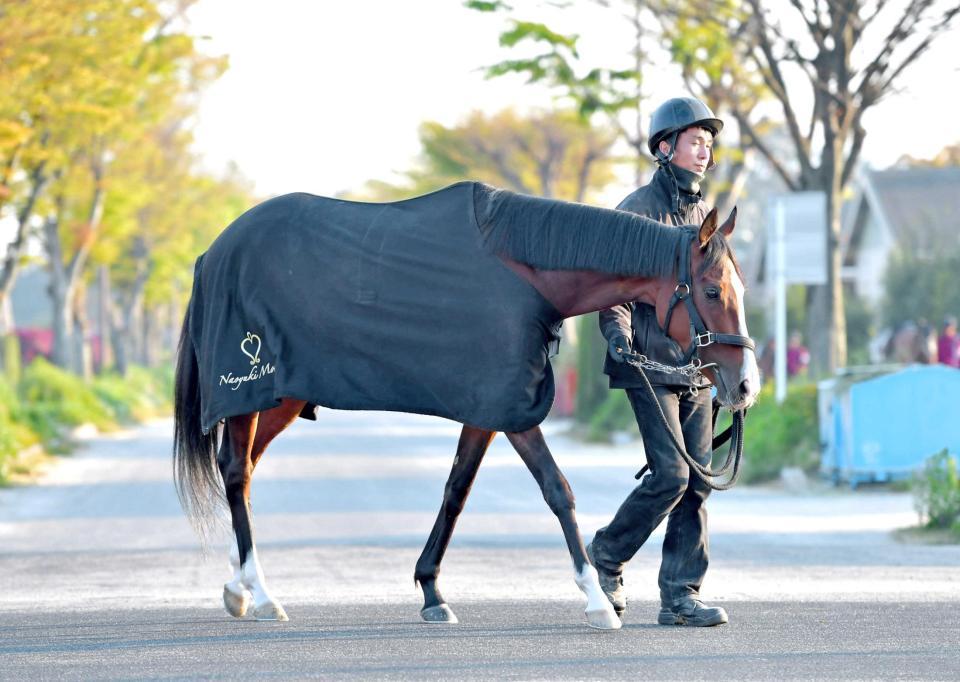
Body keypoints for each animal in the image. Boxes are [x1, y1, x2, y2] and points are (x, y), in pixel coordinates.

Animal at [171, 181, 756, 628]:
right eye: (710, 292)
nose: (746, 386)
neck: (529, 276)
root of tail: (213, 252)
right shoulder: (514, 413)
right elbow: (558, 491)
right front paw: (595, 599)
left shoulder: (487, 411)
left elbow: (456, 491)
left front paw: (432, 593)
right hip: (247, 391)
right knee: (236, 474)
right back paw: (262, 594)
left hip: (281, 397)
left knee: (242, 470)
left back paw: (239, 588)